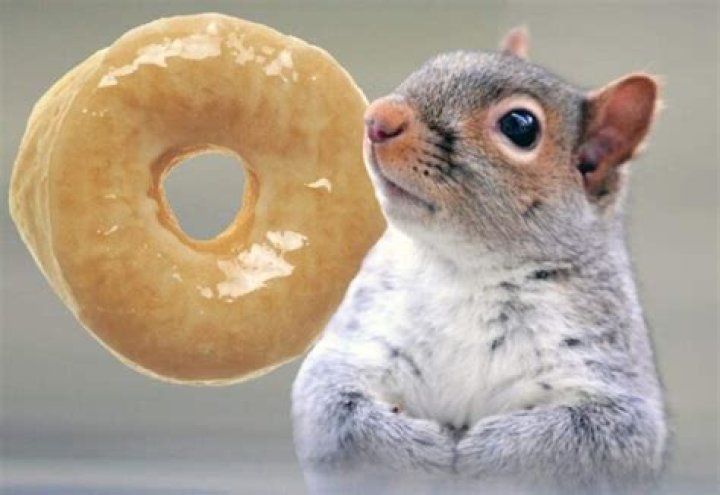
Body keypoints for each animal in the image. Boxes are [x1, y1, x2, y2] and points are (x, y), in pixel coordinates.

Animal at [292, 27, 667, 495]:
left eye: (520, 126)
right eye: (433, 62)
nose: (378, 118)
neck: (465, 269)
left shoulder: (611, 378)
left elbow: (590, 438)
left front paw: (491, 453)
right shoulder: (359, 341)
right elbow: (331, 408)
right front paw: (419, 448)